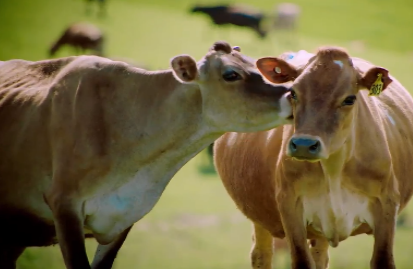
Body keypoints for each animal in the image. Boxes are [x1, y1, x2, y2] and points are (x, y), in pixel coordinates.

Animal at [214, 46, 412, 268]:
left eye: (349, 99)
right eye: (292, 93)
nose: (303, 145)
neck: (334, 168)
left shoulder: (387, 205)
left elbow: (382, 260)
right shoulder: (290, 206)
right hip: (259, 216)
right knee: (261, 254)